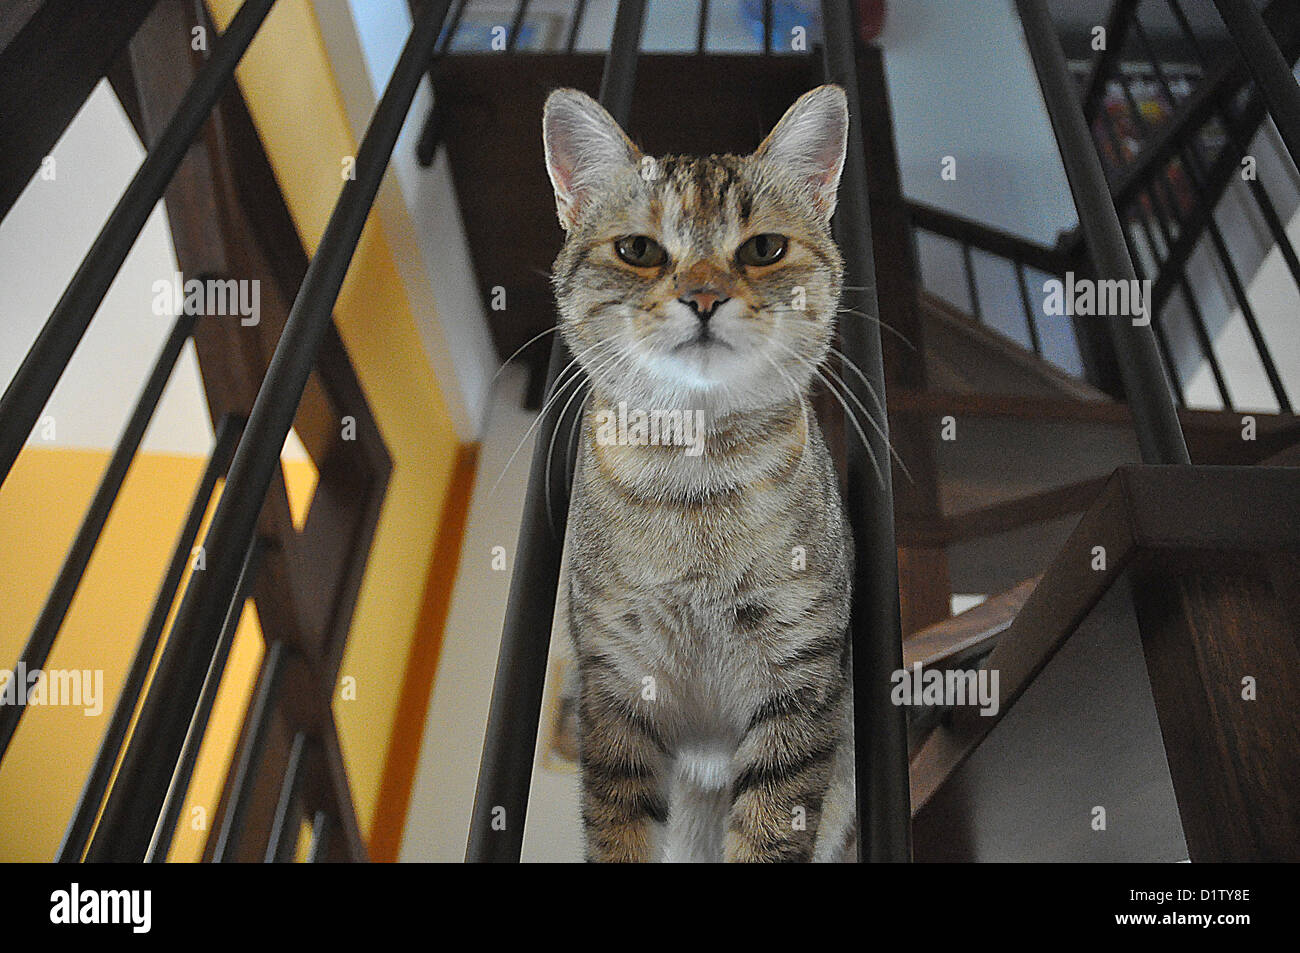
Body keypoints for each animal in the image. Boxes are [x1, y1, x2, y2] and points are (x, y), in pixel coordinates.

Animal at [543, 85, 857, 858]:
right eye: (638, 249)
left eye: (765, 248)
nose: (706, 297)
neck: (696, 479)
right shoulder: (616, 686)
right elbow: (619, 830)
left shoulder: (799, 681)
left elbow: (769, 829)